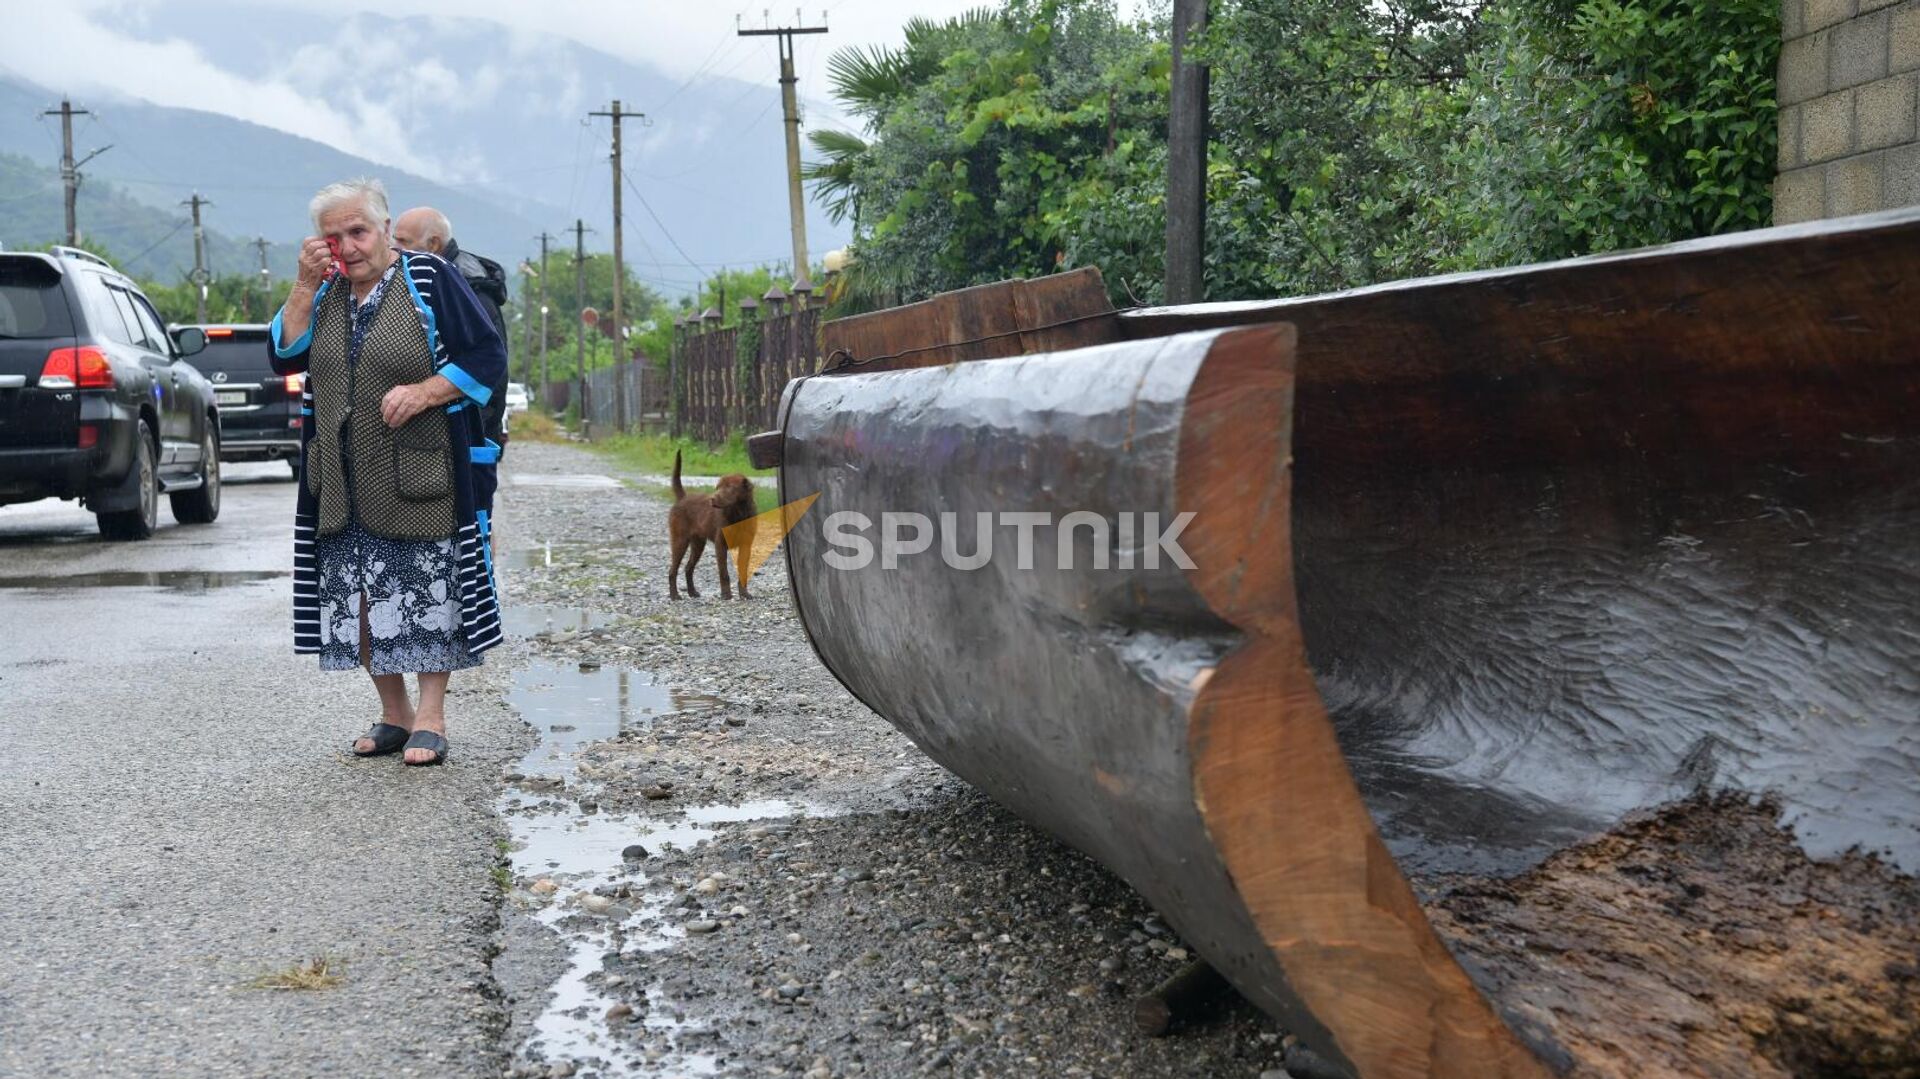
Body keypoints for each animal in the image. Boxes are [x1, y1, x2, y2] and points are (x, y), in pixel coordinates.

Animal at [672, 445, 752, 595]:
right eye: (717, 488)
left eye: (729, 488)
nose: (712, 499)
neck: (736, 514)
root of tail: (683, 498)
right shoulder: (720, 545)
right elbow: (724, 572)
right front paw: (726, 594)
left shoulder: (746, 545)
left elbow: (743, 572)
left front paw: (744, 594)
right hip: (680, 541)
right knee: (672, 570)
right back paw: (674, 595)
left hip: (698, 544)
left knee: (688, 568)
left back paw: (692, 592)